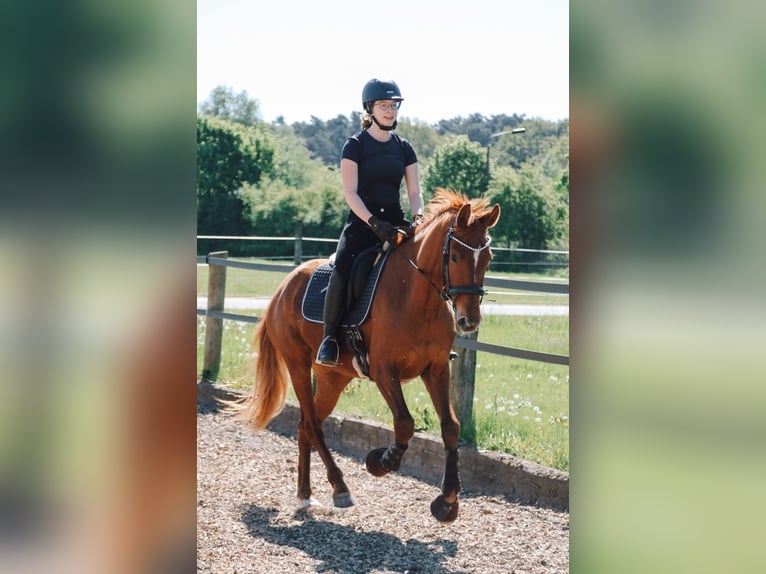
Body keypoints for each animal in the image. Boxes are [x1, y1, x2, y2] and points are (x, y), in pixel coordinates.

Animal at [242, 191, 504, 524]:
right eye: (455, 256)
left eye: (488, 257)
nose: (469, 321)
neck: (418, 299)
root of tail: (283, 286)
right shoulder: (383, 370)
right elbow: (404, 423)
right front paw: (381, 461)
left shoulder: (436, 370)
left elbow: (451, 426)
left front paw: (447, 501)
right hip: (297, 363)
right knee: (312, 424)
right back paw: (340, 489)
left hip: (333, 377)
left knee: (305, 424)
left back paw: (305, 496)